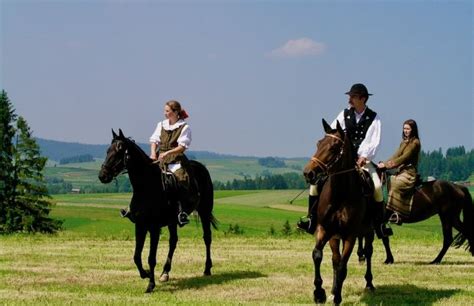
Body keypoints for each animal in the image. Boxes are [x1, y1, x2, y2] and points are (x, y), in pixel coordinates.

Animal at [101, 128, 219, 292]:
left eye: (119, 152)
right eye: (107, 151)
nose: (102, 176)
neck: (146, 187)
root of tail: (202, 168)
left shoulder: (154, 228)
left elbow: (151, 258)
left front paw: (150, 285)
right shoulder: (140, 225)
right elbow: (136, 256)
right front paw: (145, 274)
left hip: (204, 211)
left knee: (207, 237)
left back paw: (207, 269)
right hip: (173, 221)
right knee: (173, 241)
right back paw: (165, 273)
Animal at [304, 119, 378, 304]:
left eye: (333, 147)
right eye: (318, 143)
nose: (308, 173)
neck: (340, 195)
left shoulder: (350, 235)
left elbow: (343, 266)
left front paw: (337, 297)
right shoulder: (326, 230)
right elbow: (319, 255)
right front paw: (320, 292)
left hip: (369, 231)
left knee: (368, 252)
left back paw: (369, 284)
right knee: (335, 260)